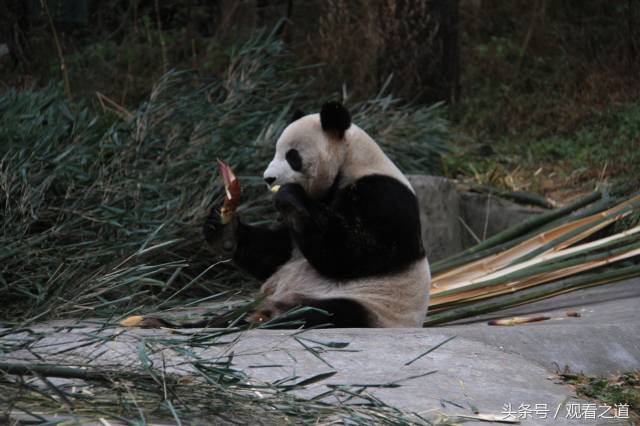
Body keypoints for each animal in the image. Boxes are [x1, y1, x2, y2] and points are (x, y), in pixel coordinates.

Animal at [205, 101, 430, 328]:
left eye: (292, 156)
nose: (268, 179)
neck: (350, 161)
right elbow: (277, 252)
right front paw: (224, 229)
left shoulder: (383, 196)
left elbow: (352, 254)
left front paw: (289, 195)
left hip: (372, 304)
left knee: (327, 313)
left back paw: (278, 319)